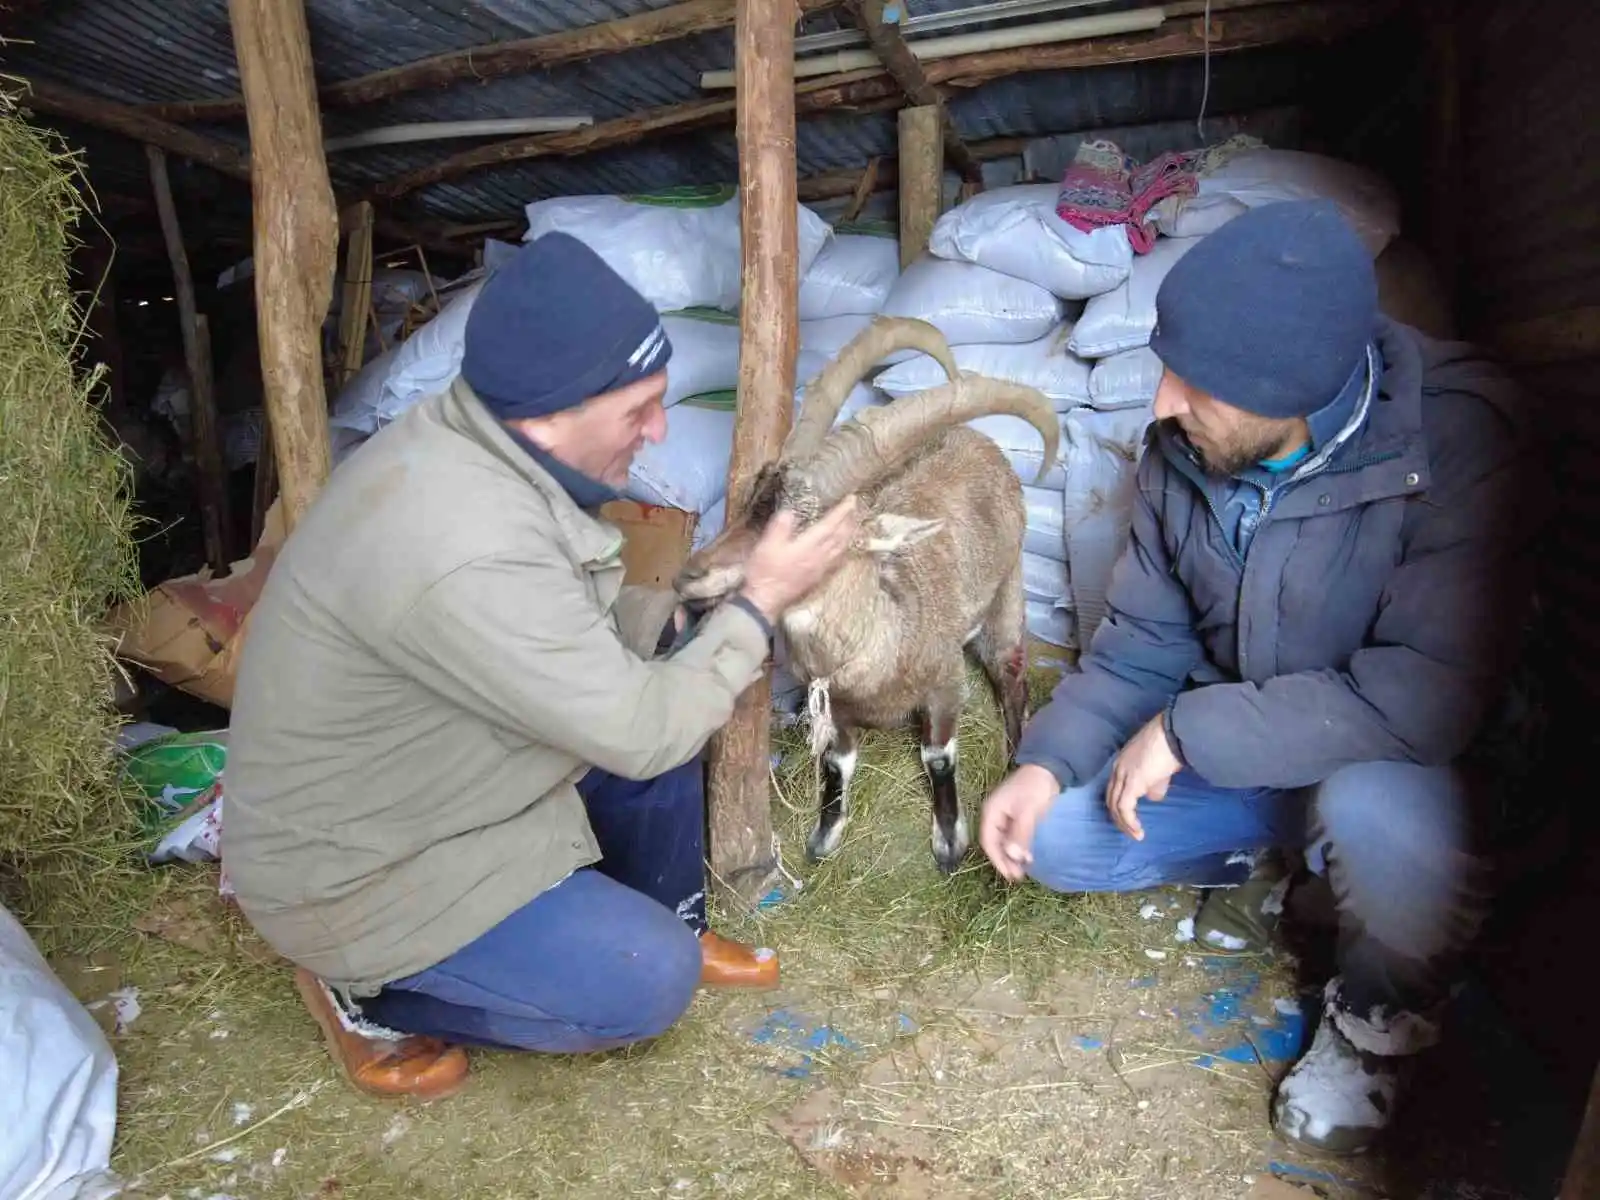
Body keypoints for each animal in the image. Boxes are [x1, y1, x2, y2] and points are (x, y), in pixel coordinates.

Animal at [678, 320, 1062, 876]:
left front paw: (949, 844)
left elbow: (938, 756)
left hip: (1006, 590)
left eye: (813, 536)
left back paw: (1014, 756)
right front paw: (824, 836)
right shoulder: (835, 709)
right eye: (751, 499)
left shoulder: (945, 681)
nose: (690, 575)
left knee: (1011, 670)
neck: (882, 635)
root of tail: (978, 438)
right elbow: (837, 764)